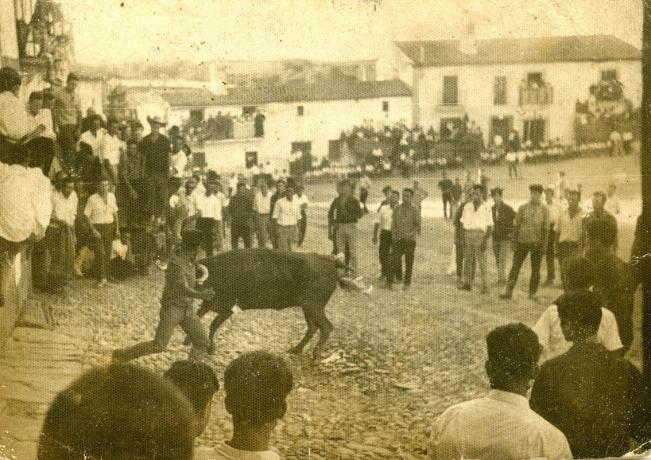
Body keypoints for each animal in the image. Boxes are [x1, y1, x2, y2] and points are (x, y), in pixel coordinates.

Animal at [189, 249, 346, 360]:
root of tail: (329, 260)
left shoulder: (227, 309)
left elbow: (213, 325)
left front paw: (210, 349)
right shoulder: (209, 305)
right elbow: (200, 317)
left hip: (313, 306)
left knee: (326, 327)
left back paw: (315, 355)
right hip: (307, 308)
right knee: (313, 327)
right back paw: (295, 350)